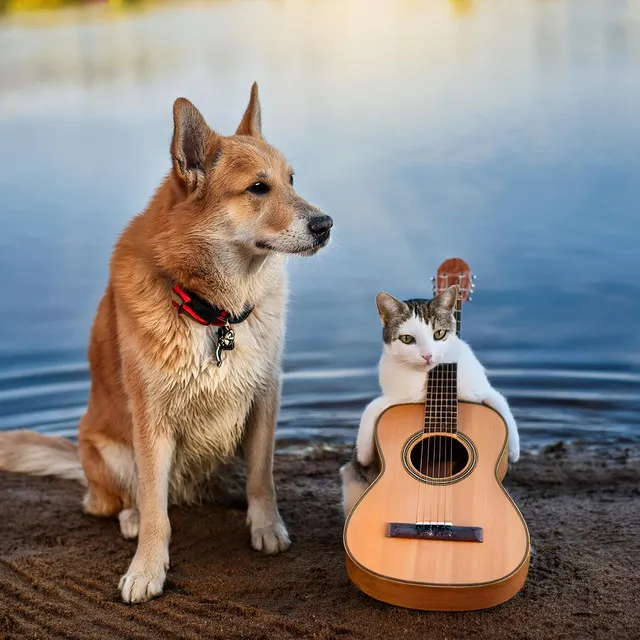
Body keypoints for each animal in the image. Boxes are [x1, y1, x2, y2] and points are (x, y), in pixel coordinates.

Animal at [0, 82, 336, 604]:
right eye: (258, 188)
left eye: (292, 179)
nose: (326, 225)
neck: (214, 311)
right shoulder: (152, 418)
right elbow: (157, 511)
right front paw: (146, 570)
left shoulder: (265, 397)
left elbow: (263, 478)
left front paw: (266, 527)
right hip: (110, 452)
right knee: (123, 499)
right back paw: (131, 516)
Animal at [340, 284, 520, 520]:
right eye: (407, 339)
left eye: (439, 334)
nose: (427, 356)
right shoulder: (396, 397)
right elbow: (371, 408)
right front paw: (363, 453)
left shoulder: (481, 390)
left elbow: (502, 405)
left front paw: (514, 450)